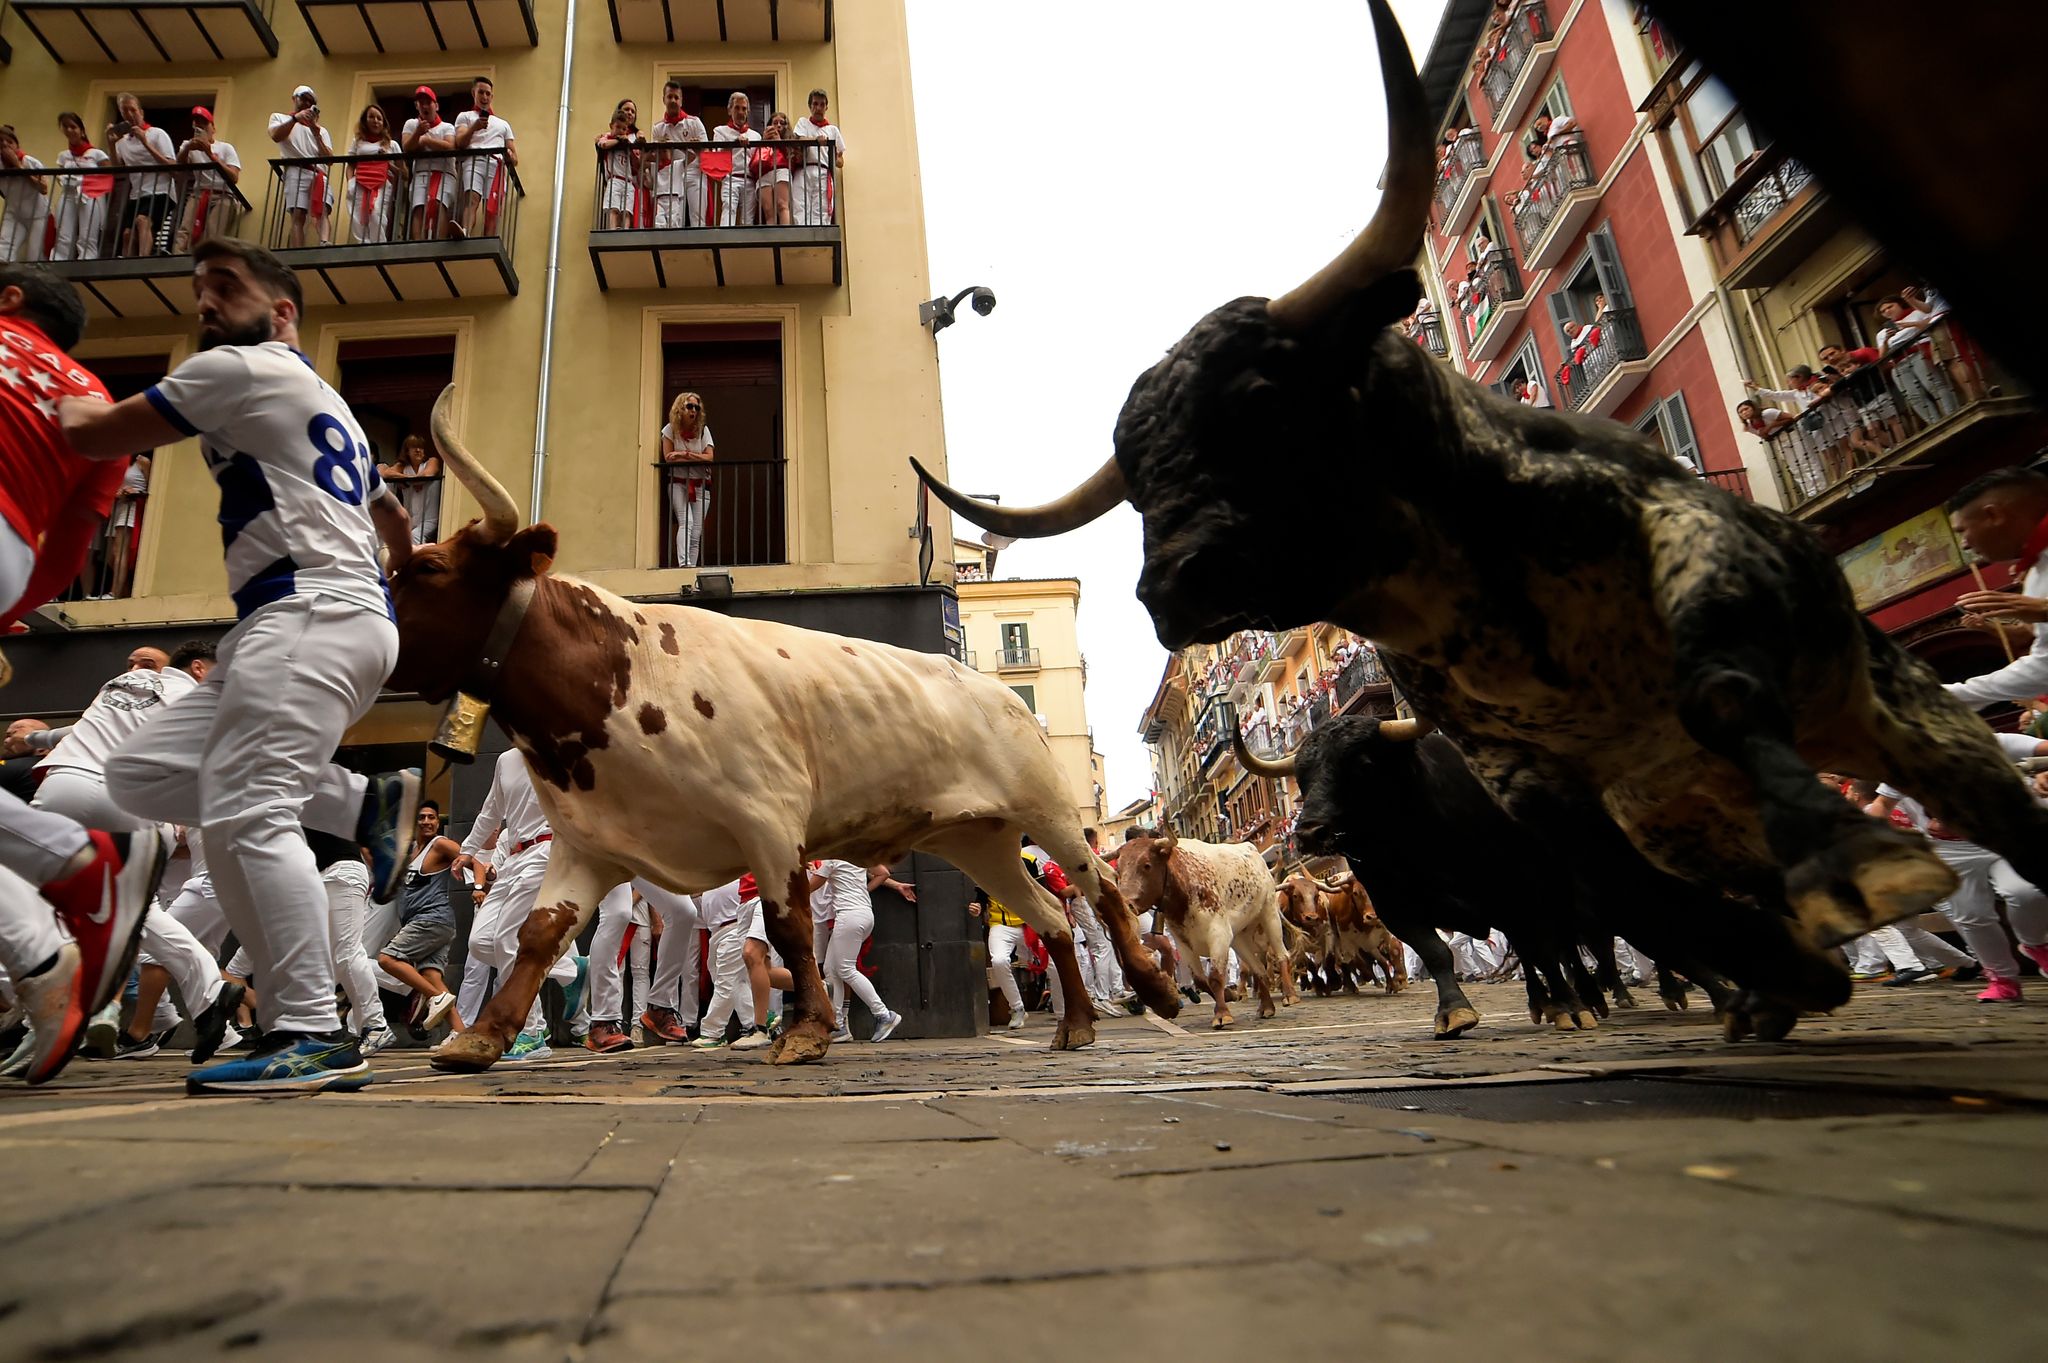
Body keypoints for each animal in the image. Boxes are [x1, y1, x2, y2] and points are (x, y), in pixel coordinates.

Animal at [389, 386, 1179, 1064]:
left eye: (427, 570)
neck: (621, 674)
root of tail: (1002, 695)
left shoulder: (767, 817)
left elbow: (788, 925)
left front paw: (807, 1031)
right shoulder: (590, 842)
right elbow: (538, 933)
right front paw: (481, 1036)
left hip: (1047, 812)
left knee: (1102, 893)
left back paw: (1154, 987)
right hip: (977, 837)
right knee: (1051, 916)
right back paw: (1076, 1025)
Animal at [1122, 826, 1294, 1031]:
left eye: (1147, 865)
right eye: (1119, 870)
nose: (1126, 903)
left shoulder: (1218, 934)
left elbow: (1215, 977)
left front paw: (1222, 1015)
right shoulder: (1183, 943)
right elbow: (1201, 980)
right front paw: (1227, 997)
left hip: (1269, 913)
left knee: (1281, 955)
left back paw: (1290, 995)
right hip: (1239, 937)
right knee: (1258, 969)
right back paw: (1266, 1007)